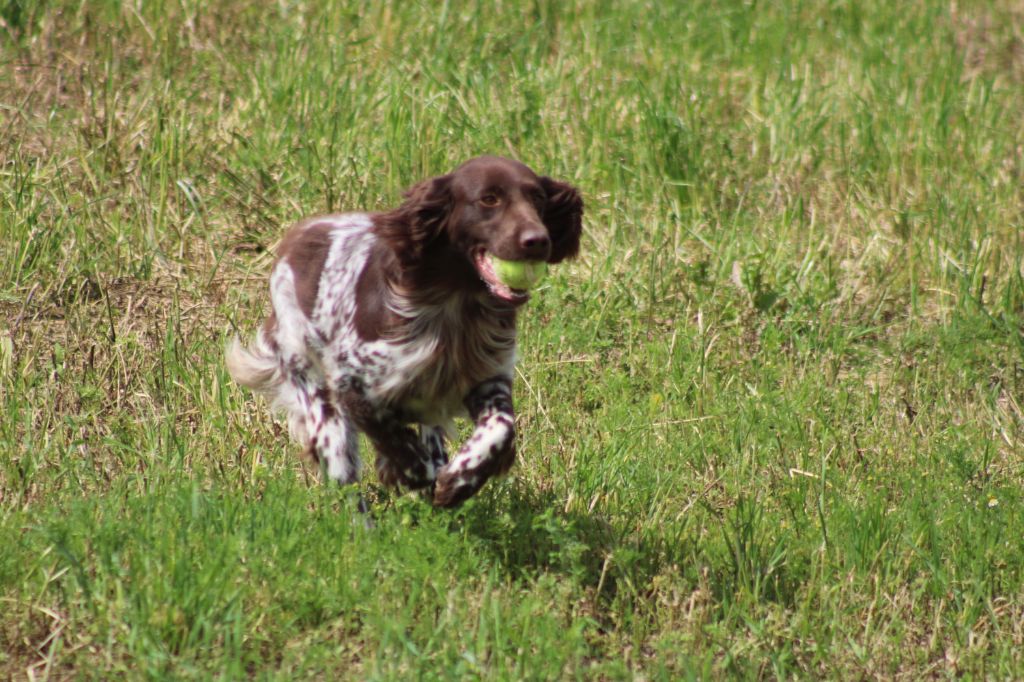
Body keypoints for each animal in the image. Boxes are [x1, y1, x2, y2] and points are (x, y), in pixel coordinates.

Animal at [230, 155, 585, 503]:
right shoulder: (352, 385)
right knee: (349, 486)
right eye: (489, 199)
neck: (455, 306)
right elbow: (392, 437)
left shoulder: (487, 378)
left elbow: (501, 427)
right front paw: (413, 472)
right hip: (321, 402)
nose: (537, 241)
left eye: (537, 198)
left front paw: (460, 480)